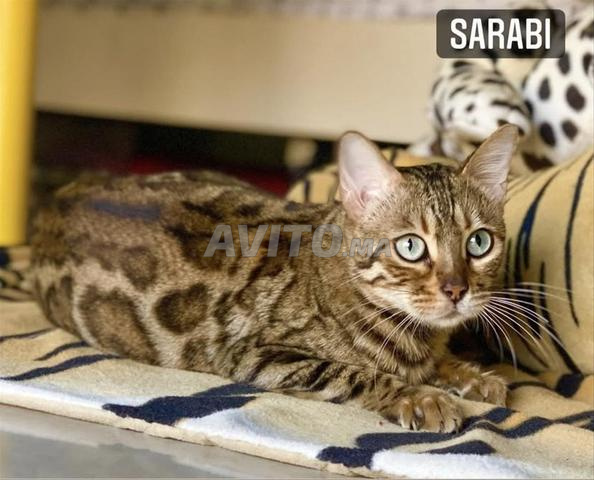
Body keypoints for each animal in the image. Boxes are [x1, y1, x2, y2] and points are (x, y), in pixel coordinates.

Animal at [30, 125, 518, 432]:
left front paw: (471, 375)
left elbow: (438, 362)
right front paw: (421, 397)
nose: (457, 290)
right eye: (412, 247)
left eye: (478, 243)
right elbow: (358, 373)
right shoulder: (255, 353)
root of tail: (64, 192)